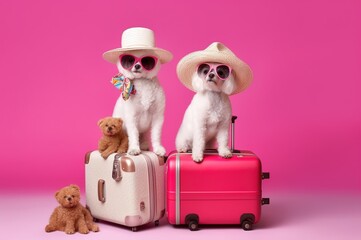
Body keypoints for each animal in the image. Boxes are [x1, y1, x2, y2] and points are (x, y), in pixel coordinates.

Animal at [103, 27, 172, 157]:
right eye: (129, 60)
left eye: (147, 60)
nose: (137, 65)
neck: (143, 82)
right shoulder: (132, 117)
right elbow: (134, 134)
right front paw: (134, 148)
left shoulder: (158, 117)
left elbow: (156, 135)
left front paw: (158, 148)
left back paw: (144, 144)